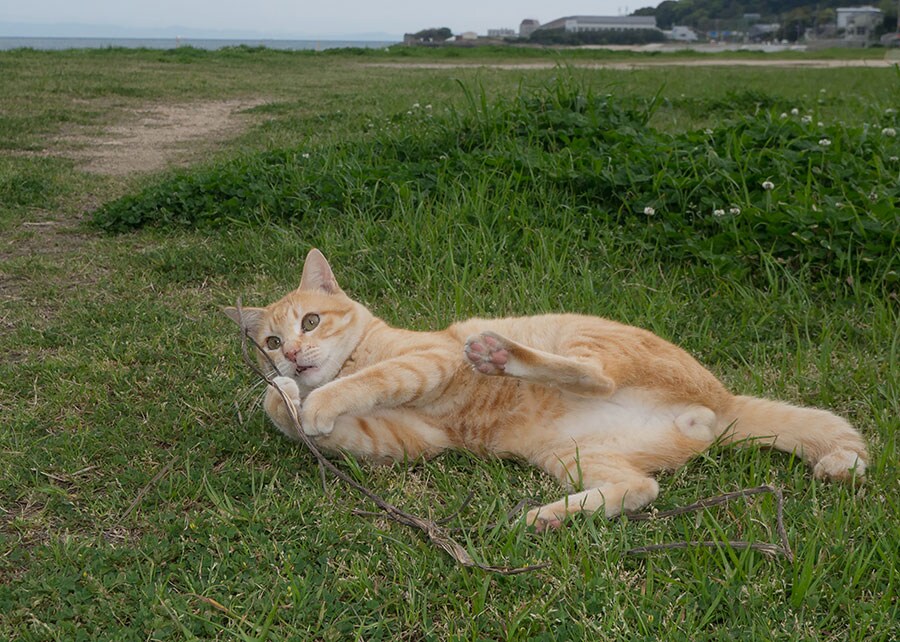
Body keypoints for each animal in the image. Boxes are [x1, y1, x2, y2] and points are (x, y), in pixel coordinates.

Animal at [223, 248, 864, 528]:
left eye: (310, 322)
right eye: (271, 342)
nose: (293, 356)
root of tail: (724, 404)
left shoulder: (428, 361)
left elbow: (369, 380)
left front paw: (317, 400)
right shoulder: (403, 440)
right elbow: (282, 407)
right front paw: (288, 398)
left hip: (580, 340)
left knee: (591, 375)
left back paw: (500, 354)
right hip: (573, 457)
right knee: (640, 490)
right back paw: (545, 518)